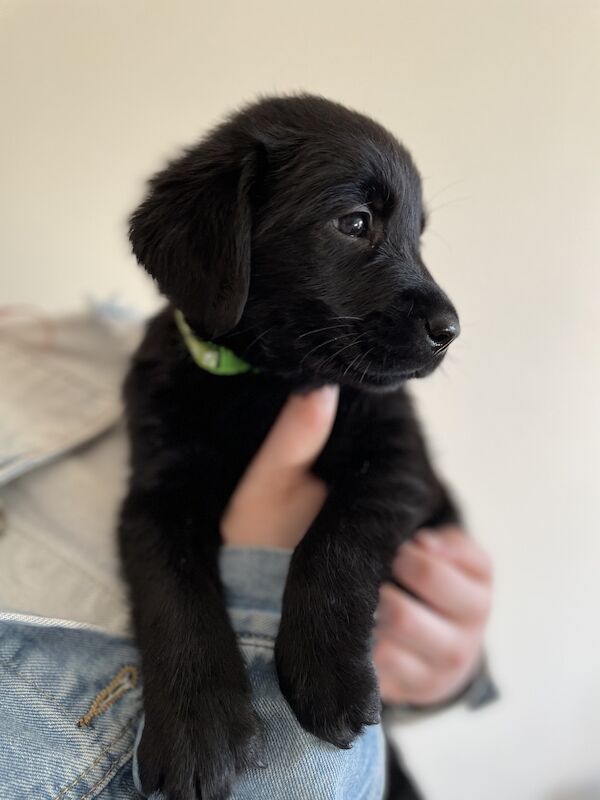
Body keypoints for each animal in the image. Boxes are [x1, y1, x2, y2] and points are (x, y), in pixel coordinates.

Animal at [120, 95, 460, 800]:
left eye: (418, 236)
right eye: (355, 222)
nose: (452, 329)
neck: (264, 384)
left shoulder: (398, 460)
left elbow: (335, 541)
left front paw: (327, 673)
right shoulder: (155, 496)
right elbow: (173, 590)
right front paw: (198, 727)